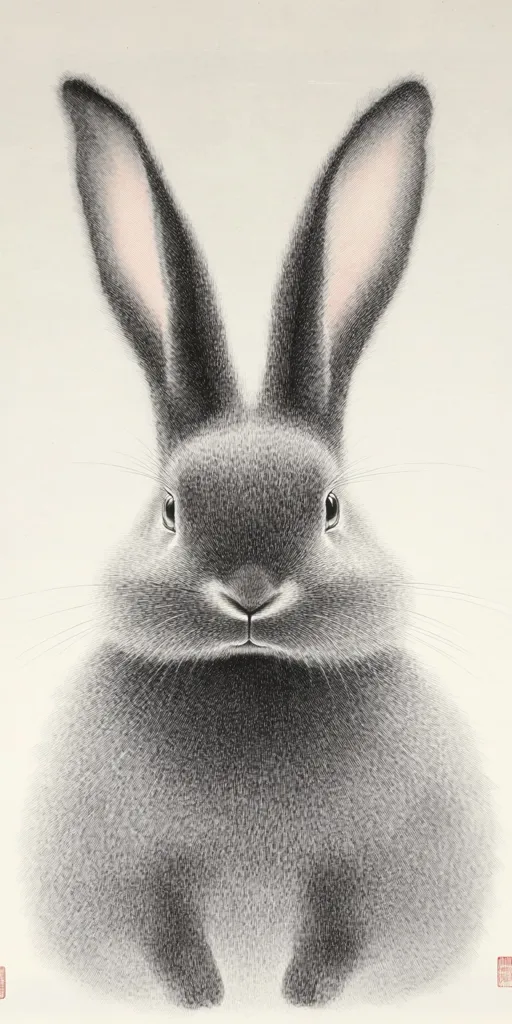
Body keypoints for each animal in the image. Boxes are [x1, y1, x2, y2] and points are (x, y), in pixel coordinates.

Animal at [21, 77, 495, 1010]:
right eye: (171, 510)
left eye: (330, 508)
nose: (249, 591)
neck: (250, 673)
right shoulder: (139, 884)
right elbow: (164, 933)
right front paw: (204, 999)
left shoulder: (367, 880)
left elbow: (341, 933)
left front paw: (299, 997)